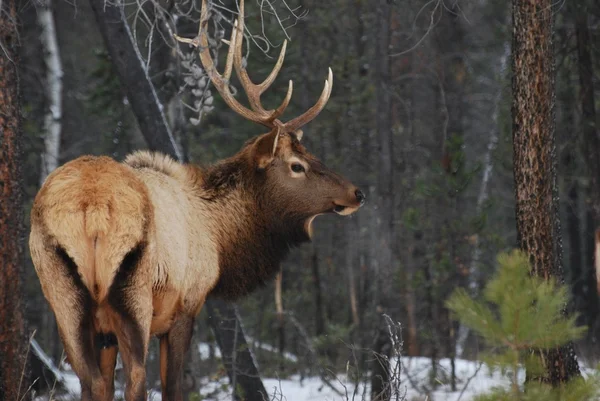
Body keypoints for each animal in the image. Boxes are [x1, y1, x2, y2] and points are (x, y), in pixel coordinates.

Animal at [28, 0, 364, 400]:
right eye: (297, 165)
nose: (357, 192)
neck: (218, 235)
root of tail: (90, 208)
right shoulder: (185, 306)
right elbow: (173, 386)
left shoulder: (105, 328)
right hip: (133, 297)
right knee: (136, 378)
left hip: (63, 298)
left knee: (89, 380)